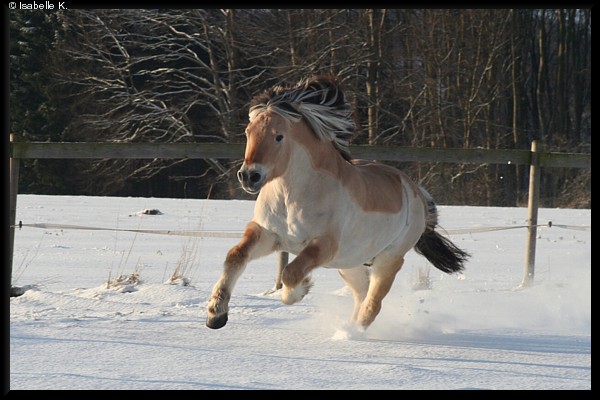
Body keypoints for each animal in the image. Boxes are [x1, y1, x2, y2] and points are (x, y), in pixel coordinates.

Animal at [206, 75, 468, 332]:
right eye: (248, 132)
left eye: (279, 136)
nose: (249, 176)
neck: (292, 197)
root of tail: (414, 191)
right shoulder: (268, 234)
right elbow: (235, 257)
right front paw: (215, 315)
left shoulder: (323, 246)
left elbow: (291, 273)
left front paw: (303, 288)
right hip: (349, 263)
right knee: (361, 293)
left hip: (388, 259)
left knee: (372, 304)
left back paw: (350, 334)